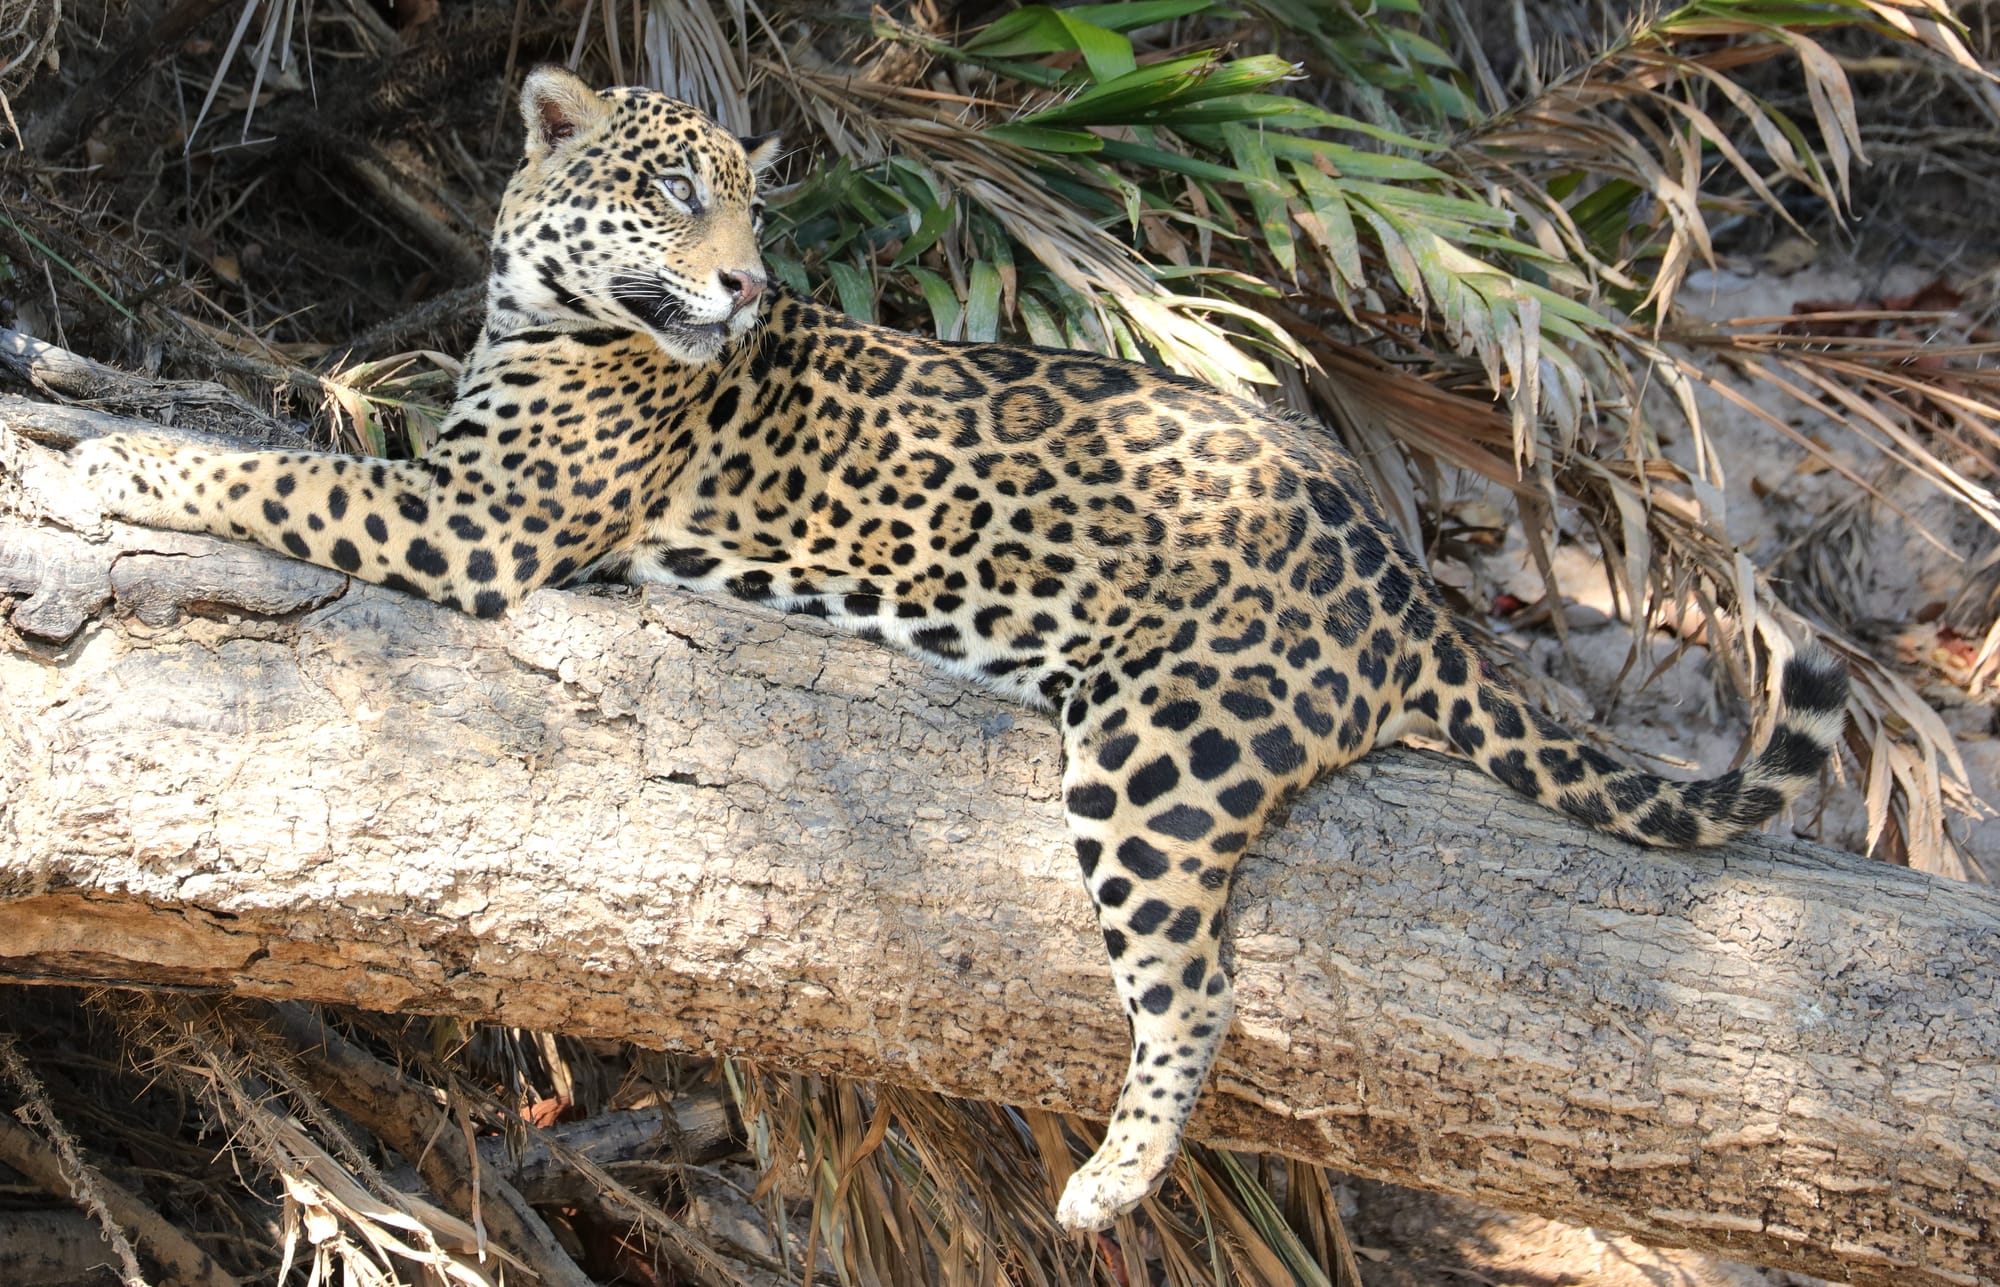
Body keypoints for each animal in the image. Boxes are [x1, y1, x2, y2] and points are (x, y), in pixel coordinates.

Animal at [70, 65, 1850, 1233]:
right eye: (674, 193)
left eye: (749, 204)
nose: (745, 283)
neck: (541, 314)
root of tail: (1396, 570)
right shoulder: (460, 468)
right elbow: (316, 431)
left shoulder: (482, 523)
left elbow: (284, 474)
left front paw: (118, 458)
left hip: (1157, 760)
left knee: (1197, 984)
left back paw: (1110, 1178)